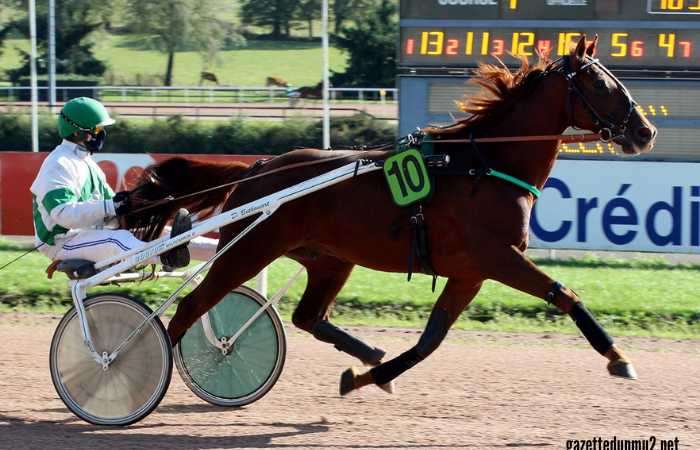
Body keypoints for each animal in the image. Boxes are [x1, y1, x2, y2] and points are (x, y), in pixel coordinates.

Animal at [126, 37, 656, 396]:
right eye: (601, 84)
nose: (645, 130)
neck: (484, 164)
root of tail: (260, 167)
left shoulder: (470, 272)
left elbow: (429, 342)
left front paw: (366, 377)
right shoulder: (498, 257)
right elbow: (566, 295)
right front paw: (618, 357)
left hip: (329, 259)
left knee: (306, 316)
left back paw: (367, 353)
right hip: (248, 250)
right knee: (188, 310)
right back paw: (141, 373)